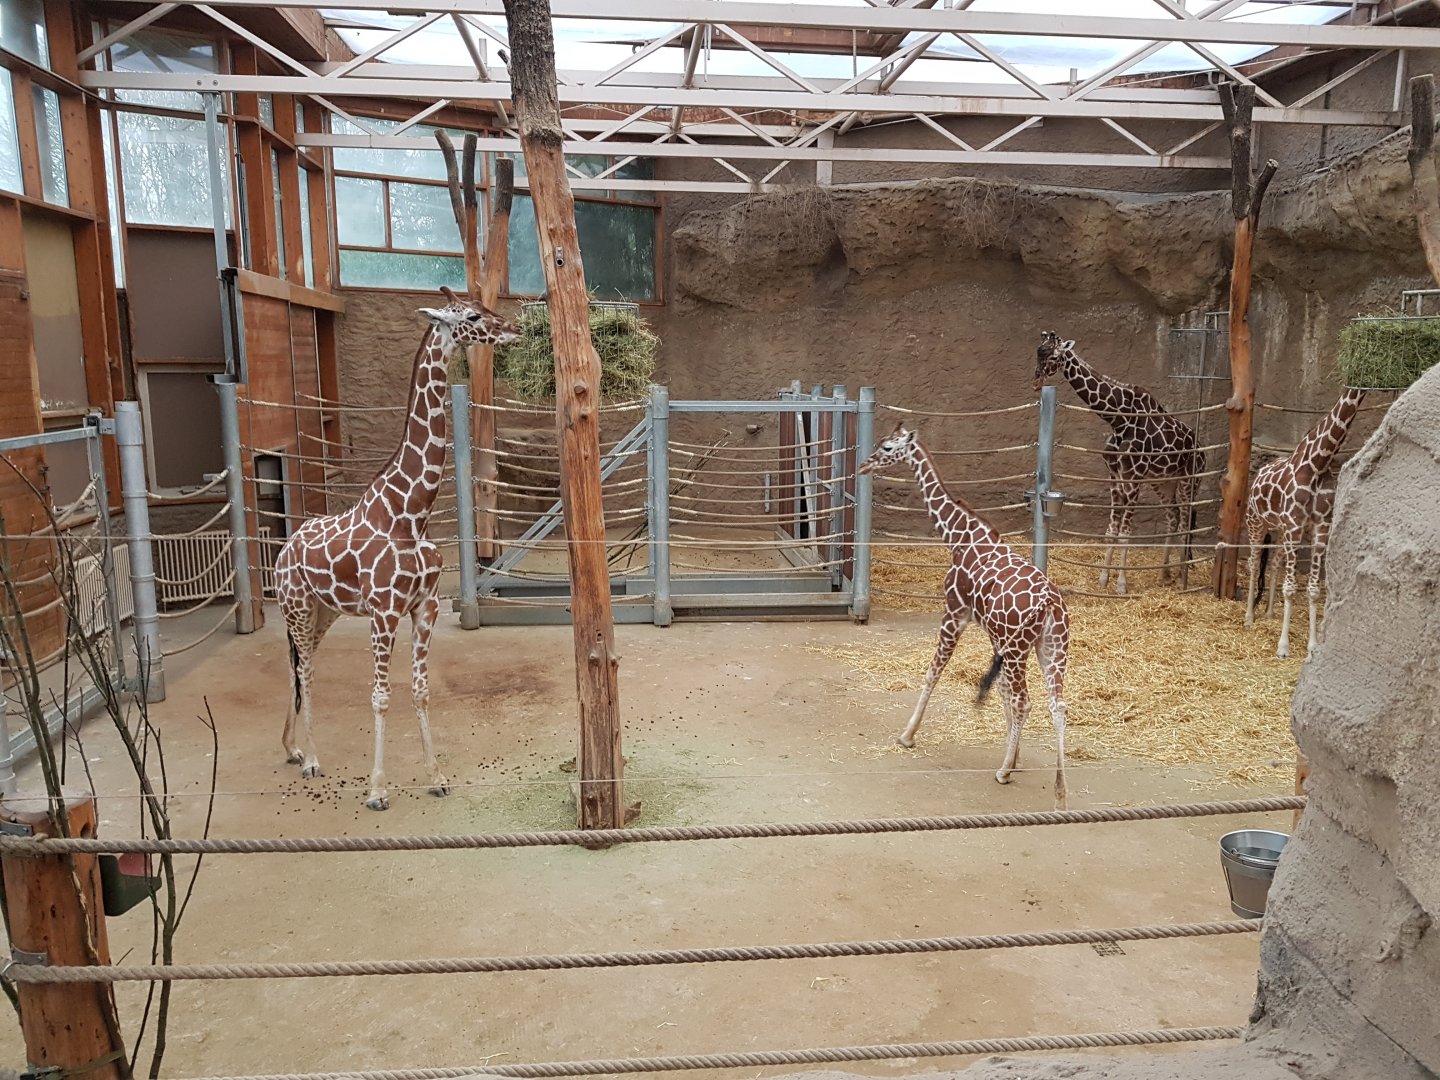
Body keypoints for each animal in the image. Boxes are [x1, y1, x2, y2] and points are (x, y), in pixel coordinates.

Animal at [274, 287, 519, 810]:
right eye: (471, 316)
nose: (513, 328)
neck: (410, 513)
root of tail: (283, 550)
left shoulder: (424, 607)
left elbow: (421, 690)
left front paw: (436, 775)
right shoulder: (384, 611)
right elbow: (381, 696)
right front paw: (377, 788)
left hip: (323, 612)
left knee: (298, 667)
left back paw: (292, 748)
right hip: (297, 607)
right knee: (306, 671)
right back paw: (312, 760)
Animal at [861, 424, 1072, 809]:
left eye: (886, 447)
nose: (863, 465)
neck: (959, 536)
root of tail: (1049, 603)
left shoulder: (954, 613)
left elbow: (933, 672)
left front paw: (907, 735)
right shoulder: (995, 635)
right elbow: (1000, 689)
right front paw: (1015, 757)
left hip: (1021, 650)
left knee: (1026, 701)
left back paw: (1003, 773)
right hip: (1051, 648)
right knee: (1056, 705)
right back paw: (1059, 794)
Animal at [1033, 331, 1204, 594]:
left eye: (1053, 355)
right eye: (1037, 352)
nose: (1036, 381)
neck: (1119, 420)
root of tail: (1203, 450)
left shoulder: (1134, 478)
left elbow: (1125, 533)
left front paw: (1121, 585)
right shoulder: (1114, 477)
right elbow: (1111, 531)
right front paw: (1103, 579)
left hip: (1189, 481)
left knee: (1186, 521)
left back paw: (1181, 575)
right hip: (1163, 482)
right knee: (1173, 517)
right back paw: (1164, 573)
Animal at [1244, 387, 1366, 660]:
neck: (1319, 463)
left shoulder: (1320, 529)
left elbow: (1313, 589)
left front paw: (1312, 647)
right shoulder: (1294, 526)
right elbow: (1290, 588)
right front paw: (1283, 646)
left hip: (1280, 531)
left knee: (1274, 563)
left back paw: (1269, 613)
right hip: (1256, 523)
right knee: (1254, 563)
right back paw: (1249, 616)